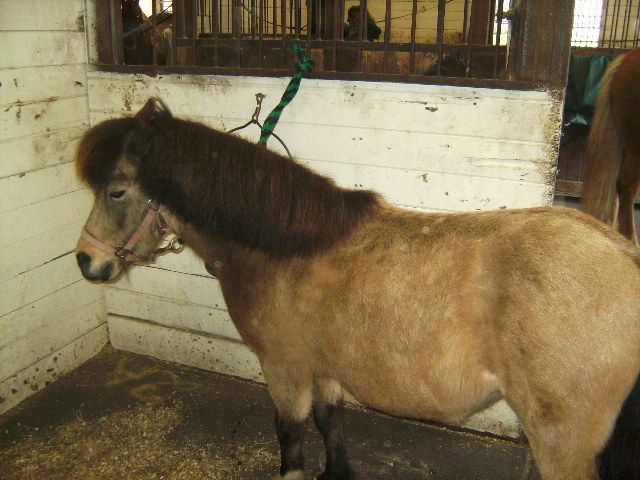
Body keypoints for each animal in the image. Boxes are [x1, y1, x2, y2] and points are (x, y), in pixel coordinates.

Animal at [75, 98, 640, 480]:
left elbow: (291, 437)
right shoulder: (324, 368)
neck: (284, 248)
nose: (86, 260)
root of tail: (624, 257)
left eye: (117, 190)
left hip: (562, 444)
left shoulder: (284, 368)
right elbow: (332, 426)